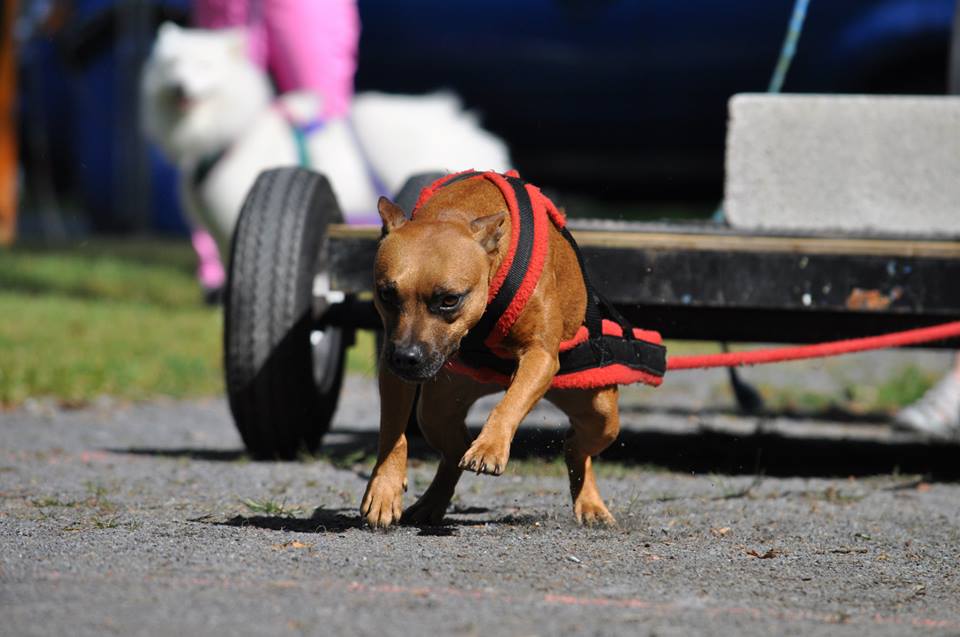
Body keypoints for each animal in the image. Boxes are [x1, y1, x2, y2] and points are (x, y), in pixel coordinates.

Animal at [360, 171, 660, 524]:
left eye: (449, 300)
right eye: (386, 294)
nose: (407, 358)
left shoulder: (540, 356)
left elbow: (510, 403)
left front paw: (489, 447)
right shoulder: (392, 368)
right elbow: (393, 431)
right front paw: (384, 487)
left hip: (601, 414)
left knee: (577, 447)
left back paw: (590, 504)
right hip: (437, 411)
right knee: (453, 449)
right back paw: (431, 503)